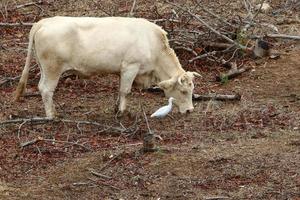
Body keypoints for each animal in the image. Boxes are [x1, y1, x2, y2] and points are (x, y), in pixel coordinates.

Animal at [14, 16, 202, 119]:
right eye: (184, 91)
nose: (190, 110)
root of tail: (43, 22)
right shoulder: (131, 67)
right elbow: (126, 91)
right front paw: (123, 113)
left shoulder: (122, 71)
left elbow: (120, 90)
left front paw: (117, 108)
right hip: (53, 69)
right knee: (46, 89)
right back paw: (51, 116)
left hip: (44, 68)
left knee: (41, 86)